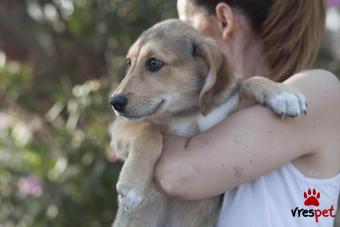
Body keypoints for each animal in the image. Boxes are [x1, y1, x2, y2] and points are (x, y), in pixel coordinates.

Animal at [110, 19, 306, 227]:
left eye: (154, 63)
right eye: (129, 63)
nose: (114, 102)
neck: (189, 112)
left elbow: (249, 81)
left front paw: (282, 93)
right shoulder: (122, 126)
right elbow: (148, 130)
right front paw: (133, 185)